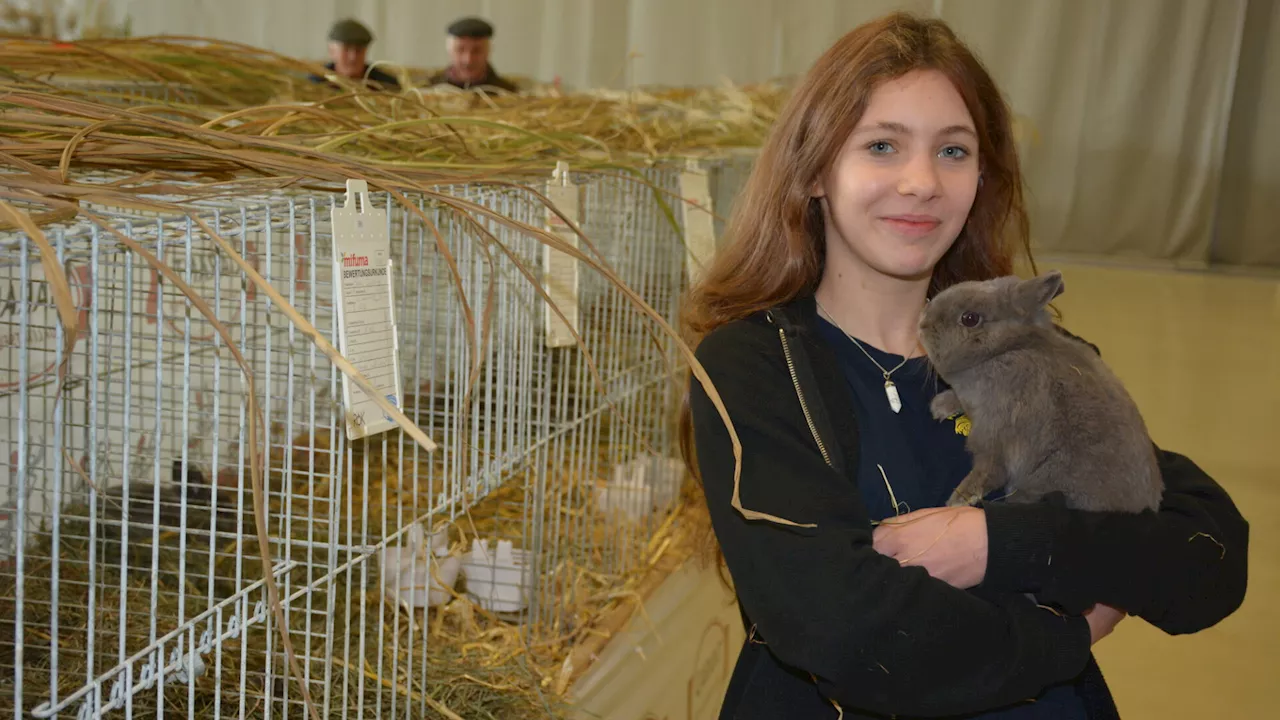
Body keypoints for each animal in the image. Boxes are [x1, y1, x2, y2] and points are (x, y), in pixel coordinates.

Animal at [916, 269, 1167, 509]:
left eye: (970, 318)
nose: (922, 324)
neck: (1004, 349)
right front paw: (940, 406)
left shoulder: (995, 433)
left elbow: (989, 470)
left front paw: (959, 499)